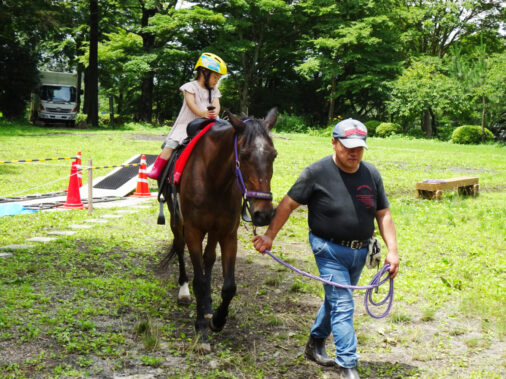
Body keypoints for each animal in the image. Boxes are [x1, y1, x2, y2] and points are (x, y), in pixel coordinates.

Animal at [162, 108, 278, 352]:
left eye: (273, 155)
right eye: (244, 155)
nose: (263, 214)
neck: (213, 177)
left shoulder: (228, 235)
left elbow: (229, 286)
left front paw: (217, 319)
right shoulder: (193, 231)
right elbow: (198, 281)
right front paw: (201, 331)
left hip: (213, 231)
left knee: (208, 258)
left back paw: (207, 306)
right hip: (177, 222)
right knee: (179, 248)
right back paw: (184, 291)